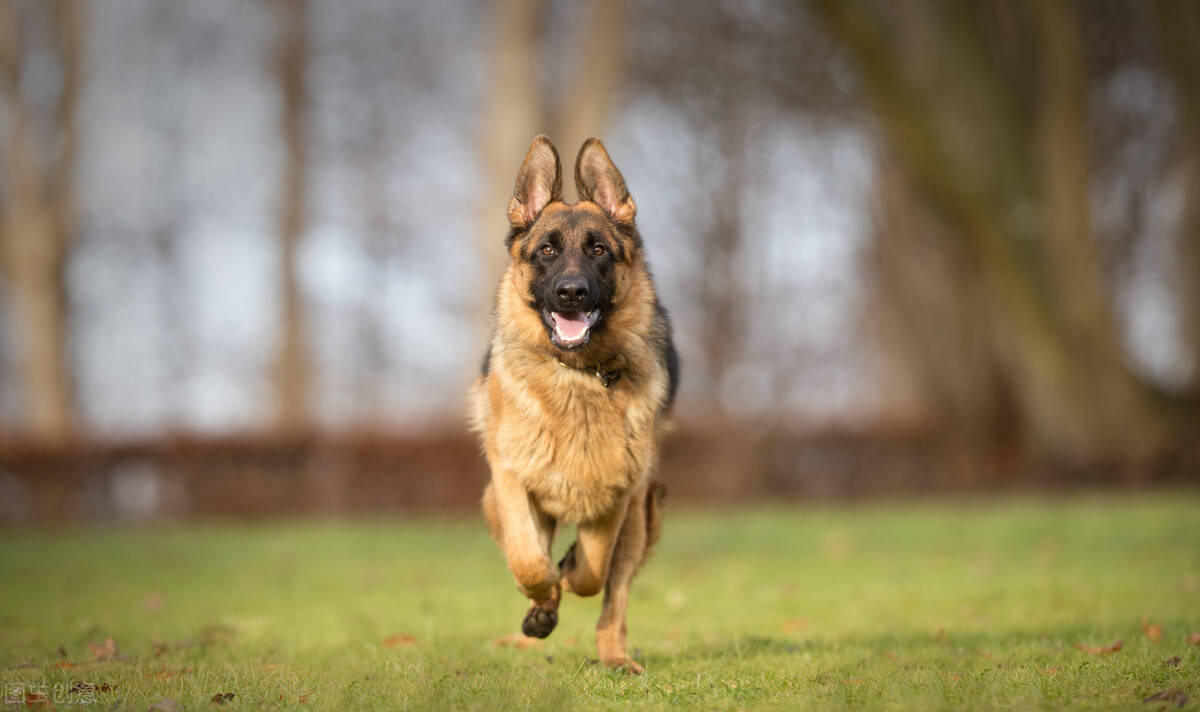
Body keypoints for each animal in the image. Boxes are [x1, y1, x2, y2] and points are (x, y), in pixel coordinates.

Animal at [468, 134, 676, 672]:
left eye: (598, 249)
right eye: (546, 250)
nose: (571, 293)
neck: (578, 375)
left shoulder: (617, 492)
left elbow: (592, 572)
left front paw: (572, 566)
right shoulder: (510, 478)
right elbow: (528, 561)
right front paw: (543, 595)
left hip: (639, 521)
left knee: (614, 598)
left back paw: (615, 658)